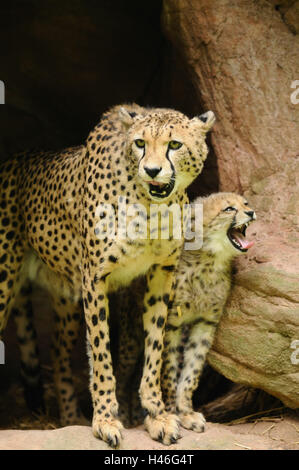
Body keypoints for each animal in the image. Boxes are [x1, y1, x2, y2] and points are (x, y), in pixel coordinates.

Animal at [0, 102, 216, 444]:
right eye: (140, 143)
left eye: (174, 144)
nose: (151, 170)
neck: (150, 205)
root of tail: (17, 157)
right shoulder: (95, 278)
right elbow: (102, 354)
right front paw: (105, 419)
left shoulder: (160, 274)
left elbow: (153, 348)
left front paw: (156, 414)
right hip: (6, 279)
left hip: (66, 295)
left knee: (58, 349)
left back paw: (70, 416)